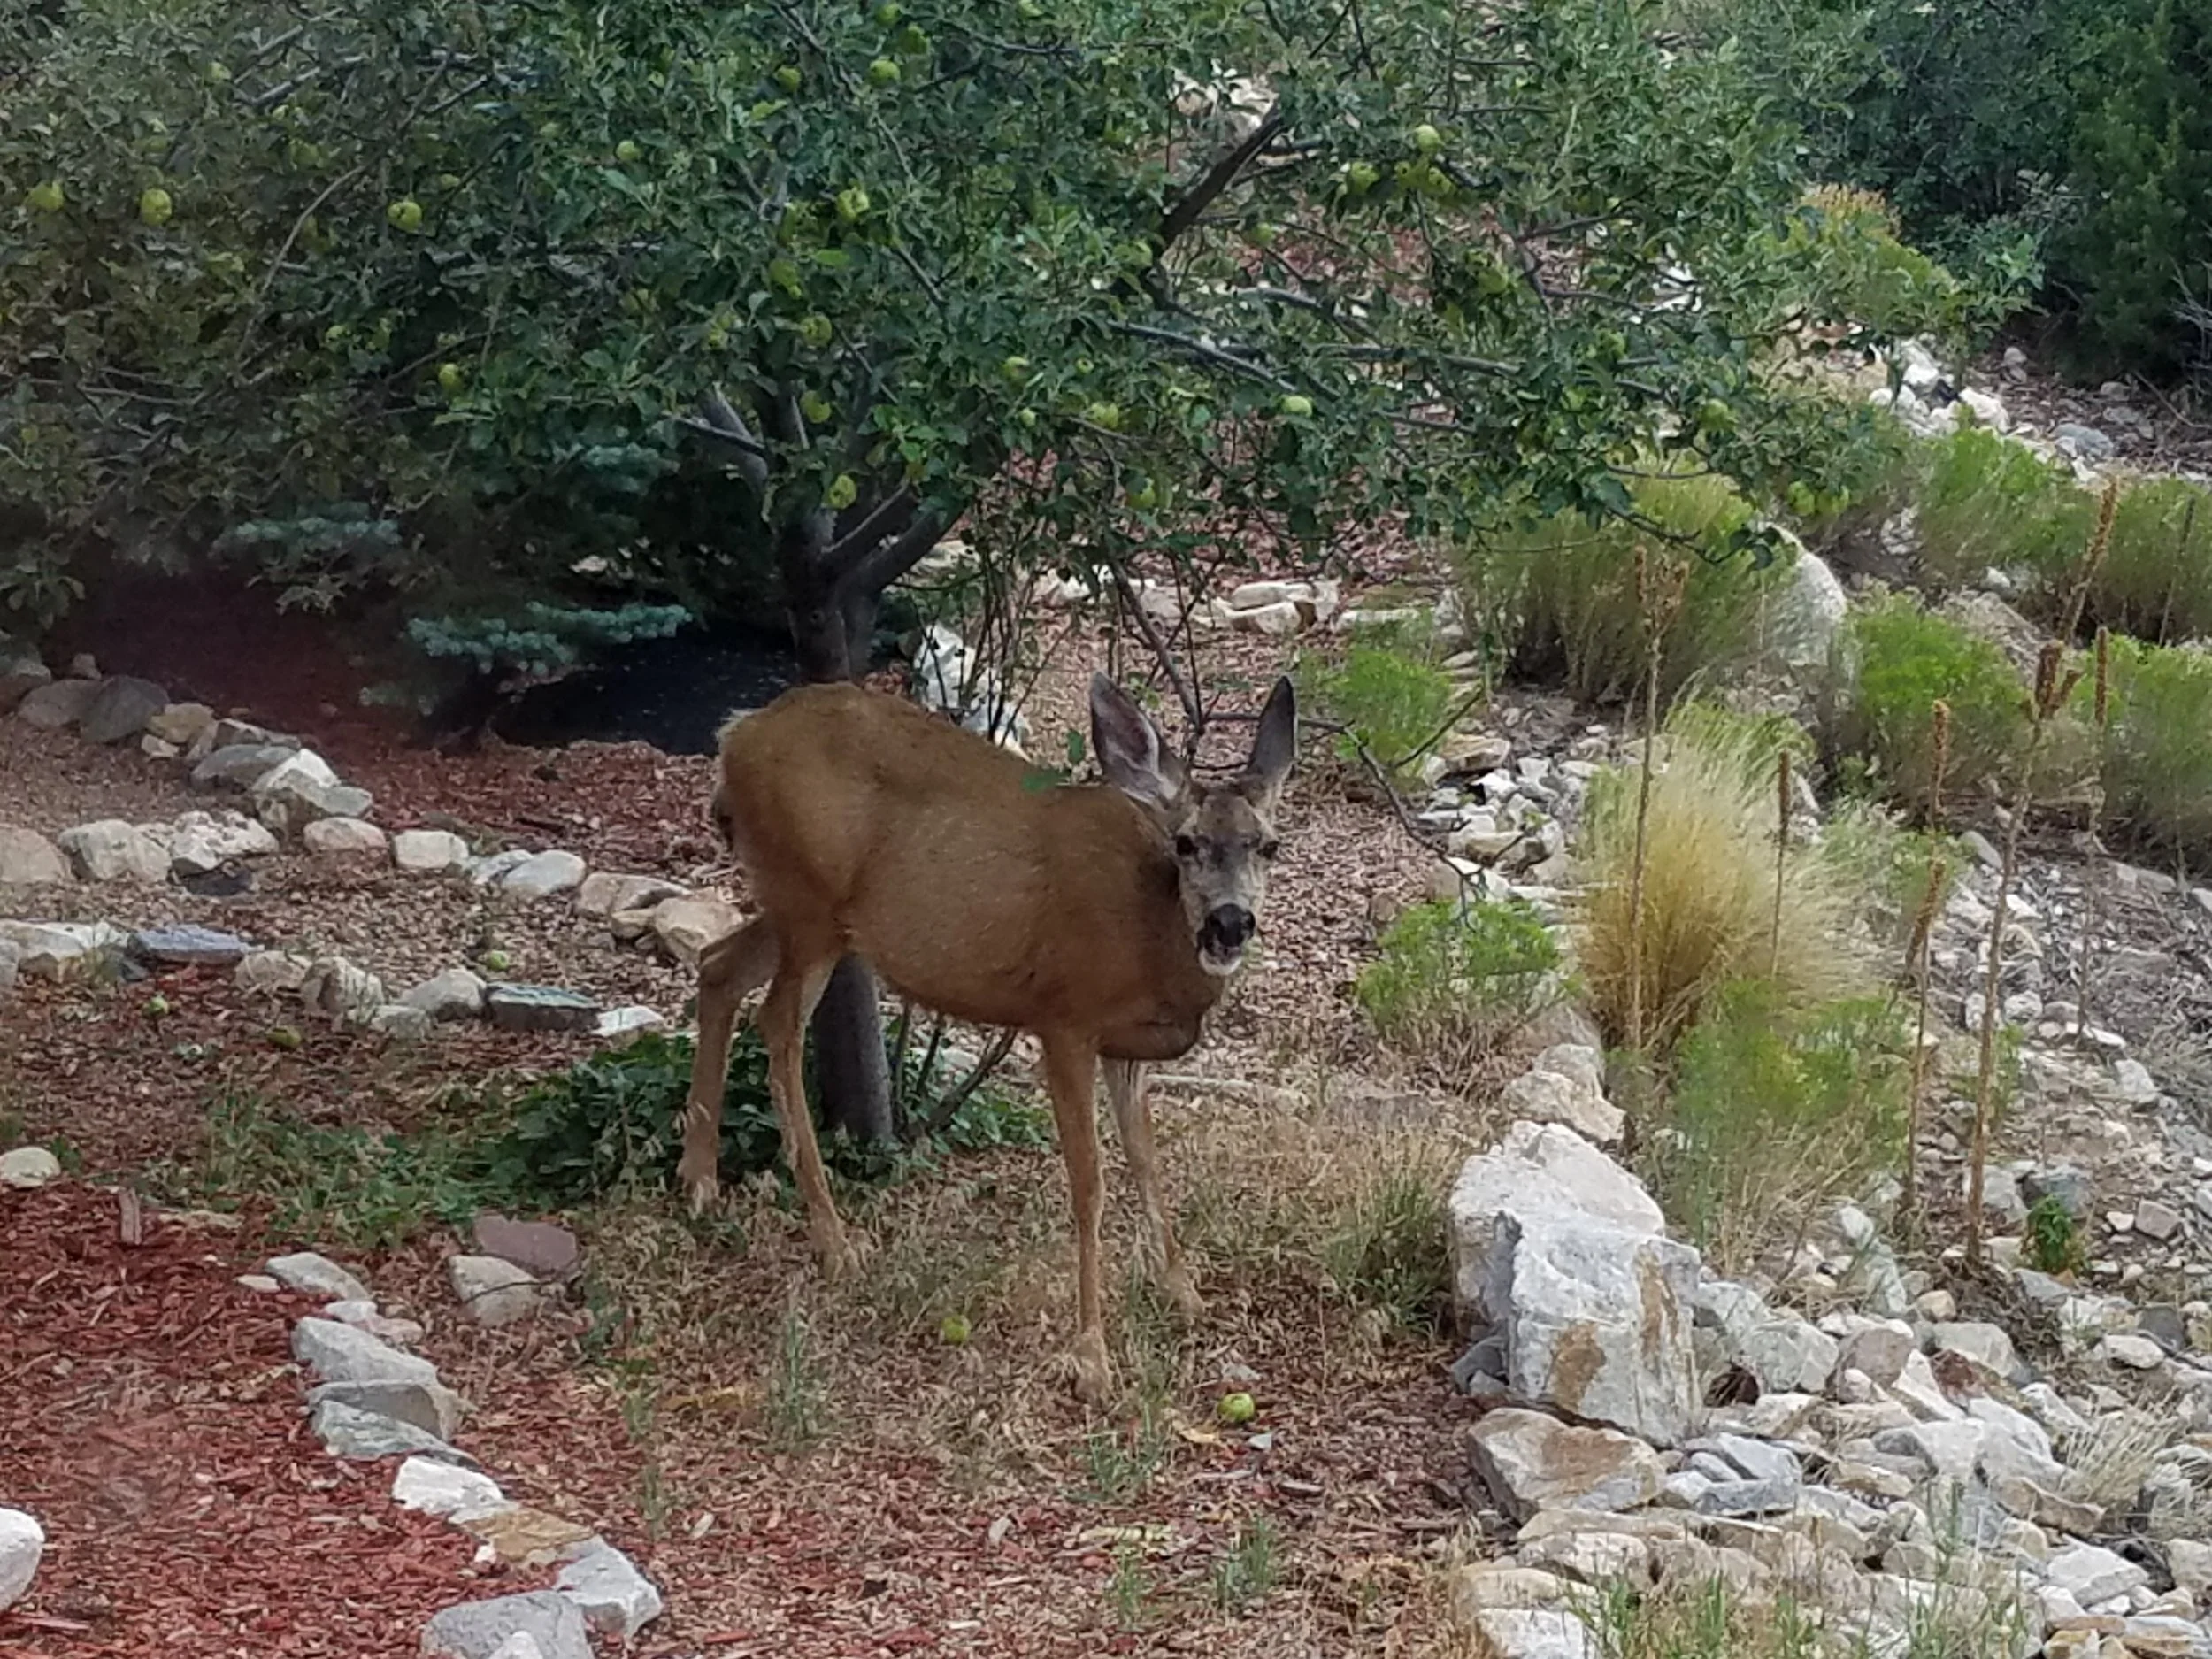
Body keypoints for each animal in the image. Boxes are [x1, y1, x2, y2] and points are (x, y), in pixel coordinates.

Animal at [676, 670, 1298, 1404]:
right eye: (1187, 843)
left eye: (1270, 844)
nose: (1230, 922)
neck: (1151, 935)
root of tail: (734, 735)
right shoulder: (1065, 1018)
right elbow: (1089, 1182)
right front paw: (1092, 1357)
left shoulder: (1127, 1048)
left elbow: (1147, 1159)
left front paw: (1183, 1292)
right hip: (809, 900)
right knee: (777, 1023)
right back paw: (834, 1240)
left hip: (799, 908)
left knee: (716, 965)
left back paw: (700, 1182)